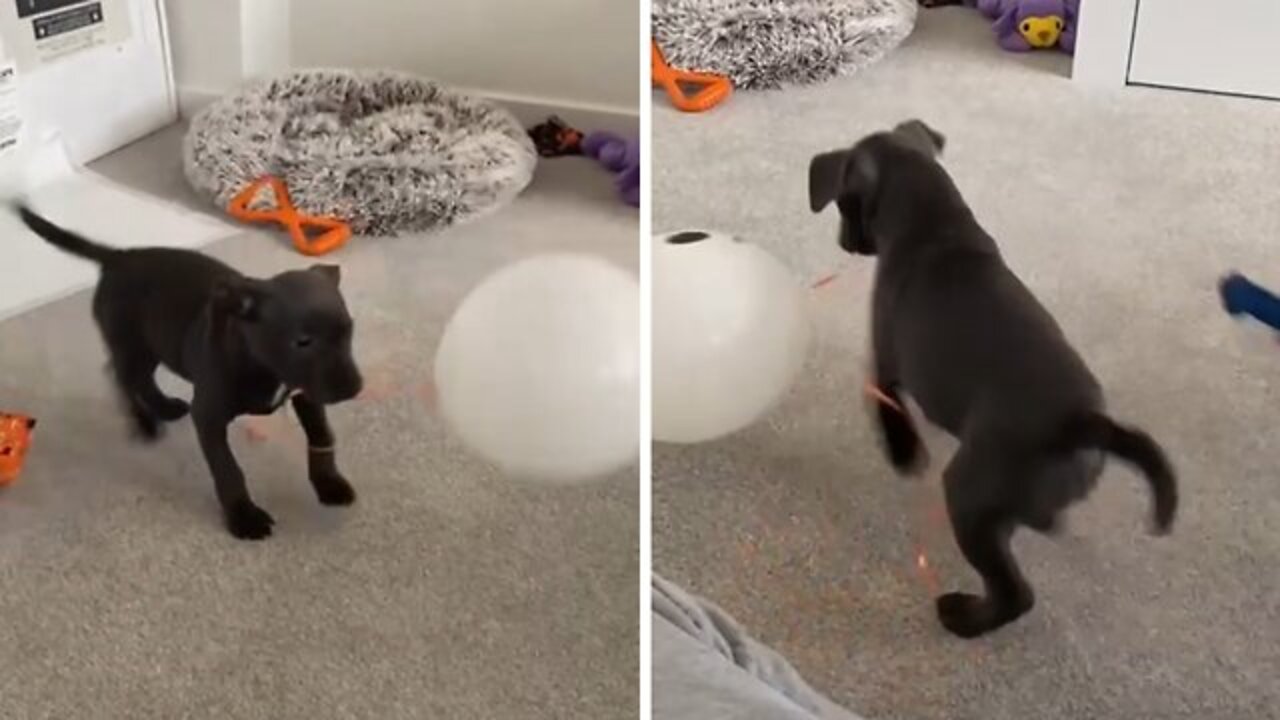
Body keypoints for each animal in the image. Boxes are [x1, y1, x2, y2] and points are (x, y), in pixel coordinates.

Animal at [16, 204, 360, 535]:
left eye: (349, 330)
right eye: (302, 341)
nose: (353, 388)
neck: (262, 364)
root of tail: (118, 257)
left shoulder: (307, 392)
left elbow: (321, 435)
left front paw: (329, 484)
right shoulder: (208, 416)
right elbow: (228, 469)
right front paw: (243, 517)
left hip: (156, 343)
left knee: (141, 378)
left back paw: (163, 407)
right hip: (131, 344)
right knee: (122, 377)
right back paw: (144, 422)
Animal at [814, 120, 1172, 635]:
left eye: (844, 202)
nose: (846, 243)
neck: (932, 221)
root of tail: (1083, 425)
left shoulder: (885, 361)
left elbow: (890, 409)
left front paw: (903, 454)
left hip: (968, 498)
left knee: (1013, 593)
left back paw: (962, 617)